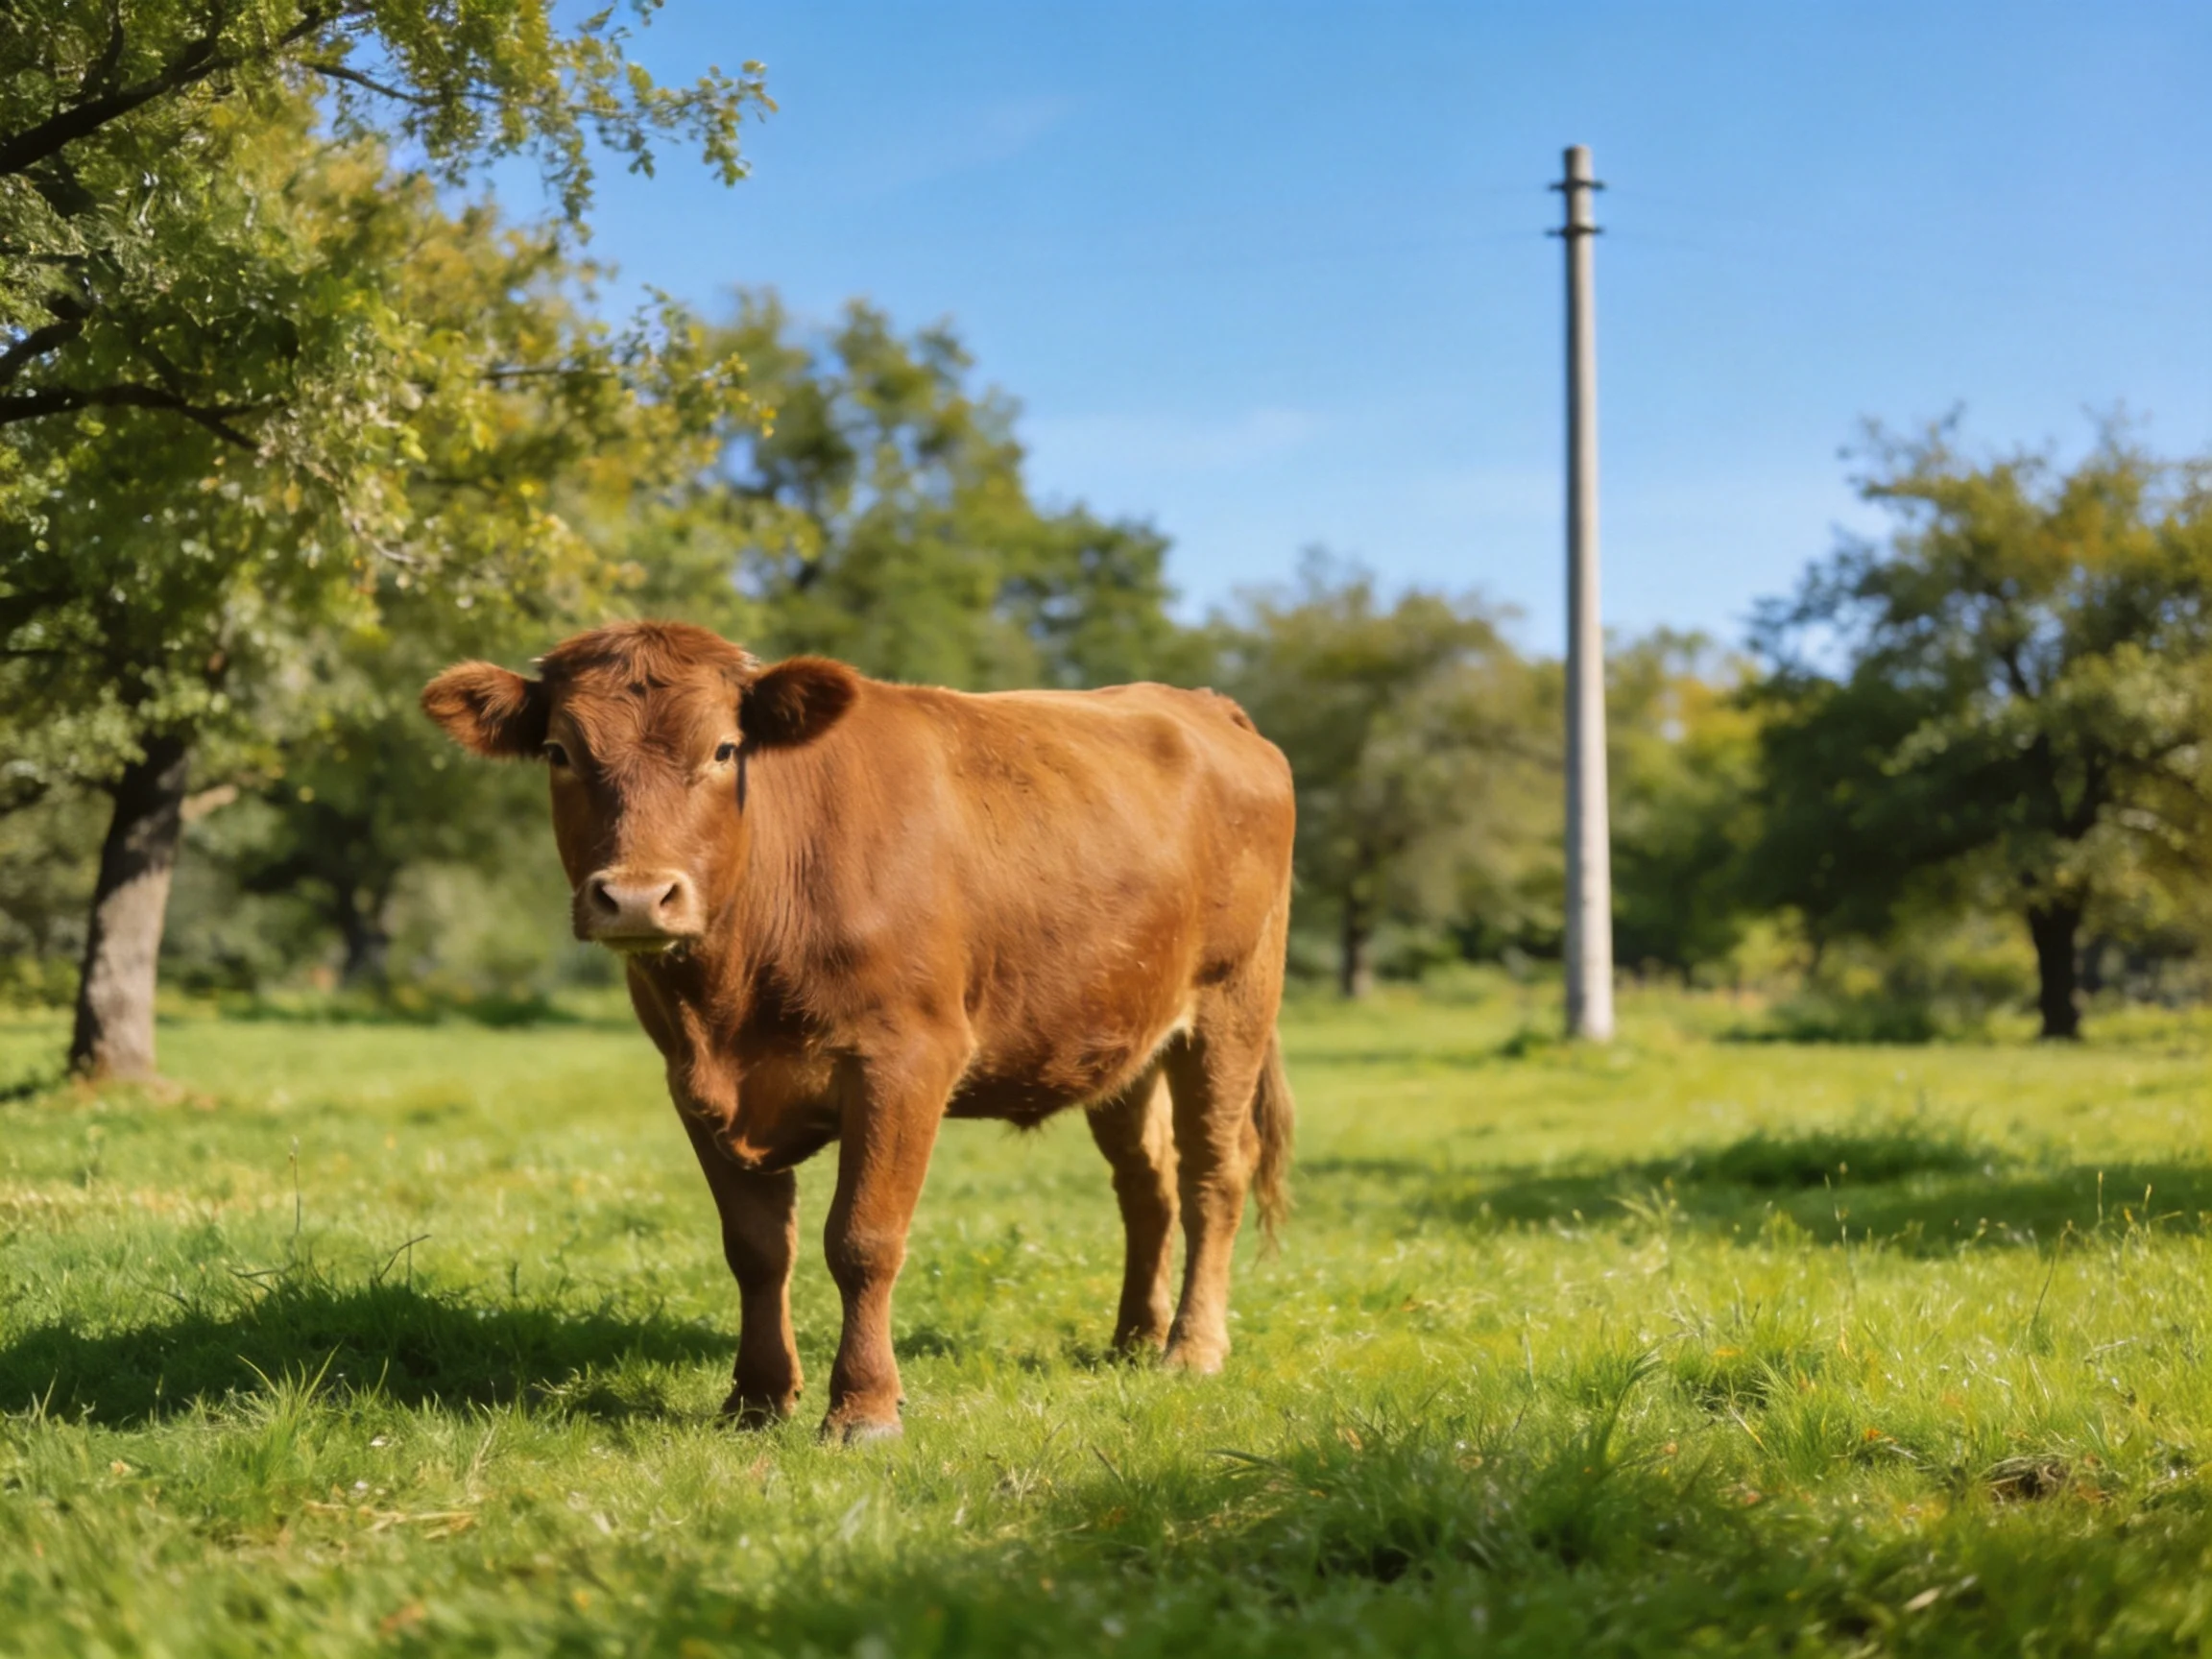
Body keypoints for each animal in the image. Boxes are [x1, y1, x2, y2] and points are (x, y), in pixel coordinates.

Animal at [422, 621, 1296, 1441]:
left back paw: (1191, 1347)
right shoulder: (691, 1080)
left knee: (1213, 1174)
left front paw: (865, 1408)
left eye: (724, 749)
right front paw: (756, 1397)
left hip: (1231, 1006)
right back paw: (1132, 1340)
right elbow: (756, 1248)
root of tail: (1202, 704)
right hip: (1124, 1037)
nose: (637, 897)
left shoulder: (906, 1061)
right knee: (1147, 1184)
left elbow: (863, 1239)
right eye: (560, 751)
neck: (731, 994)